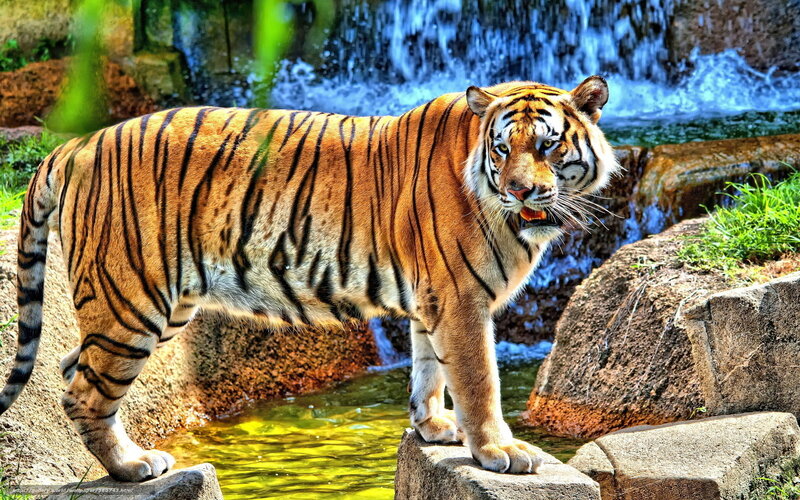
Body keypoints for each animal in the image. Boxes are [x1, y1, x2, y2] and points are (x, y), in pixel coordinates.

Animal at [0, 76, 617, 481]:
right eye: (502, 148)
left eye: (548, 146)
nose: (519, 190)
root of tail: (77, 143)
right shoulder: (460, 299)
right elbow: (478, 379)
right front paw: (498, 451)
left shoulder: (433, 298)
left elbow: (427, 368)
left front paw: (434, 427)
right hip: (132, 301)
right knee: (84, 392)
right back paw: (133, 466)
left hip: (153, 305)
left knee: (70, 366)